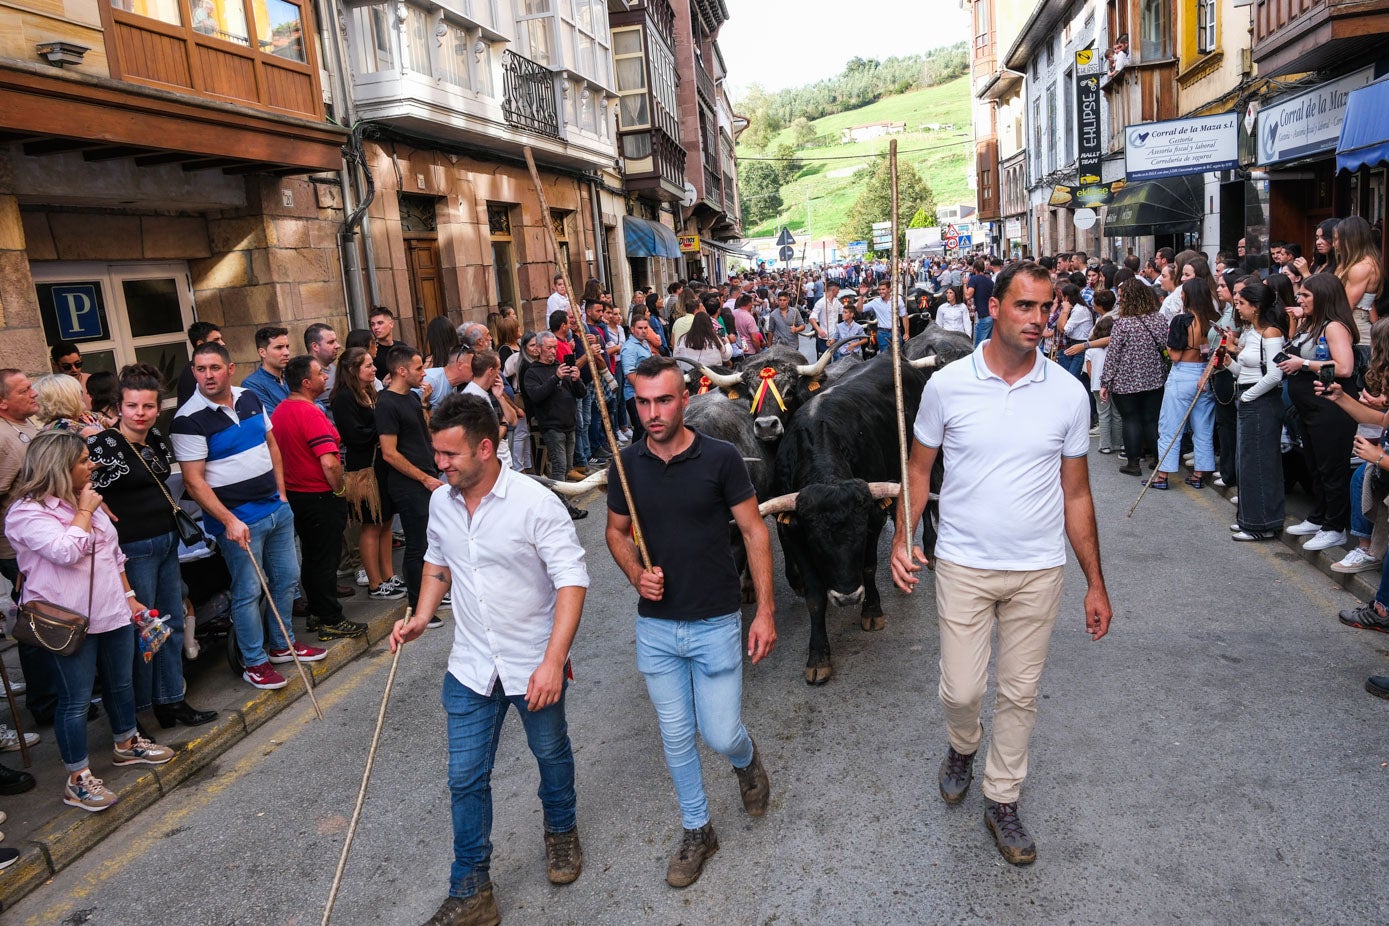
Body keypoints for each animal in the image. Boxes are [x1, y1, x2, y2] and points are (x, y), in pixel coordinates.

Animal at [755, 329, 972, 685]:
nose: (847, 597)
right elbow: (814, 596)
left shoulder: (873, 517)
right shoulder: (793, 532)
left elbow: (869, 566)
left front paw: (872, 610)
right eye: (817, 541)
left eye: (858, 535)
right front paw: (818, 656)